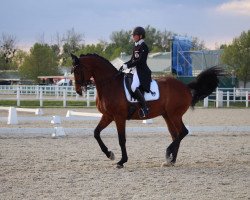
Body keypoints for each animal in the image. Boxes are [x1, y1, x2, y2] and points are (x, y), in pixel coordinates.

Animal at [70, 53, 225, 169]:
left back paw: (168, 154)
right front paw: (110, 154)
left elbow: (121, 139)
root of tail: (185, 87)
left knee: (183, 132)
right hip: (167, 116)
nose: (78, 91)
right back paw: (170, 161)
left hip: (174, 114)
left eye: (77, 71)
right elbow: (96, 133)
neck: (110, 84)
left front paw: (121, 161)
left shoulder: (119, 117)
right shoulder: (108, 116)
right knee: (176, 135)